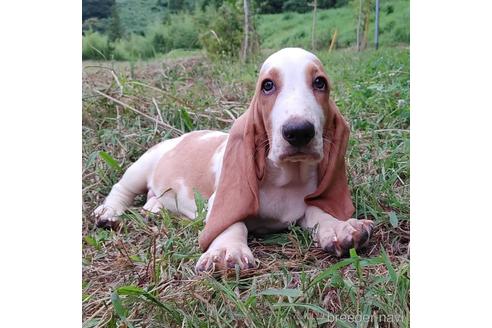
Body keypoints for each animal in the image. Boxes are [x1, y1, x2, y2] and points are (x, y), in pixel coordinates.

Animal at [94, 46, 374, 272]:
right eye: (267, 85)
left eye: (320, 83)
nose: (299, 132)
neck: (287, 178)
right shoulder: (219, 202)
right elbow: (232, 222)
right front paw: (226, 250)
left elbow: (318, 211)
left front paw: (339, 228)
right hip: (142, 166)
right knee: (121, 188)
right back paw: (108, 213)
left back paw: (153, 209)